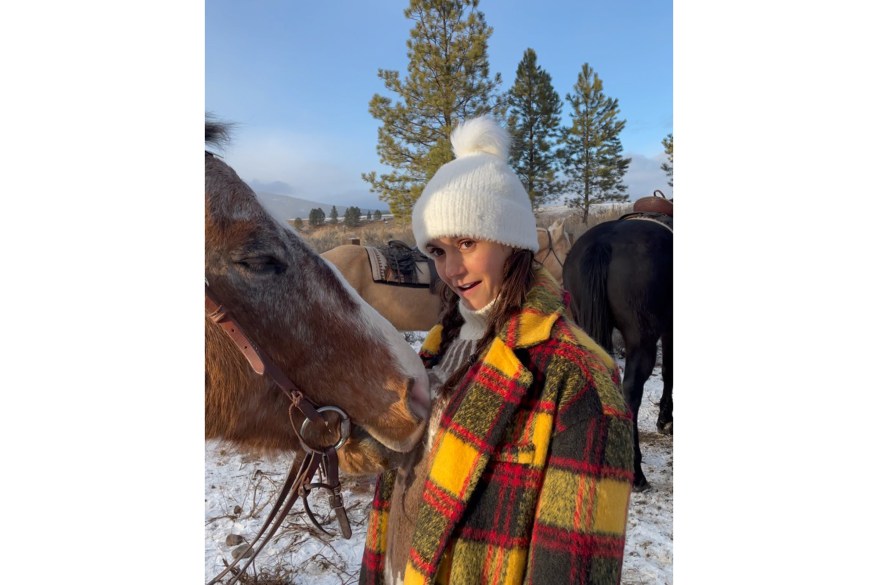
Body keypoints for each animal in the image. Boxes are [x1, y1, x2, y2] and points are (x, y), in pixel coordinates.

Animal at [564, 214, 672, 488]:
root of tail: (603, 242)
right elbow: (670, 372)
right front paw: (666, 419)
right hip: (641, 338)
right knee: (632, 389)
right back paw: (636, 472)